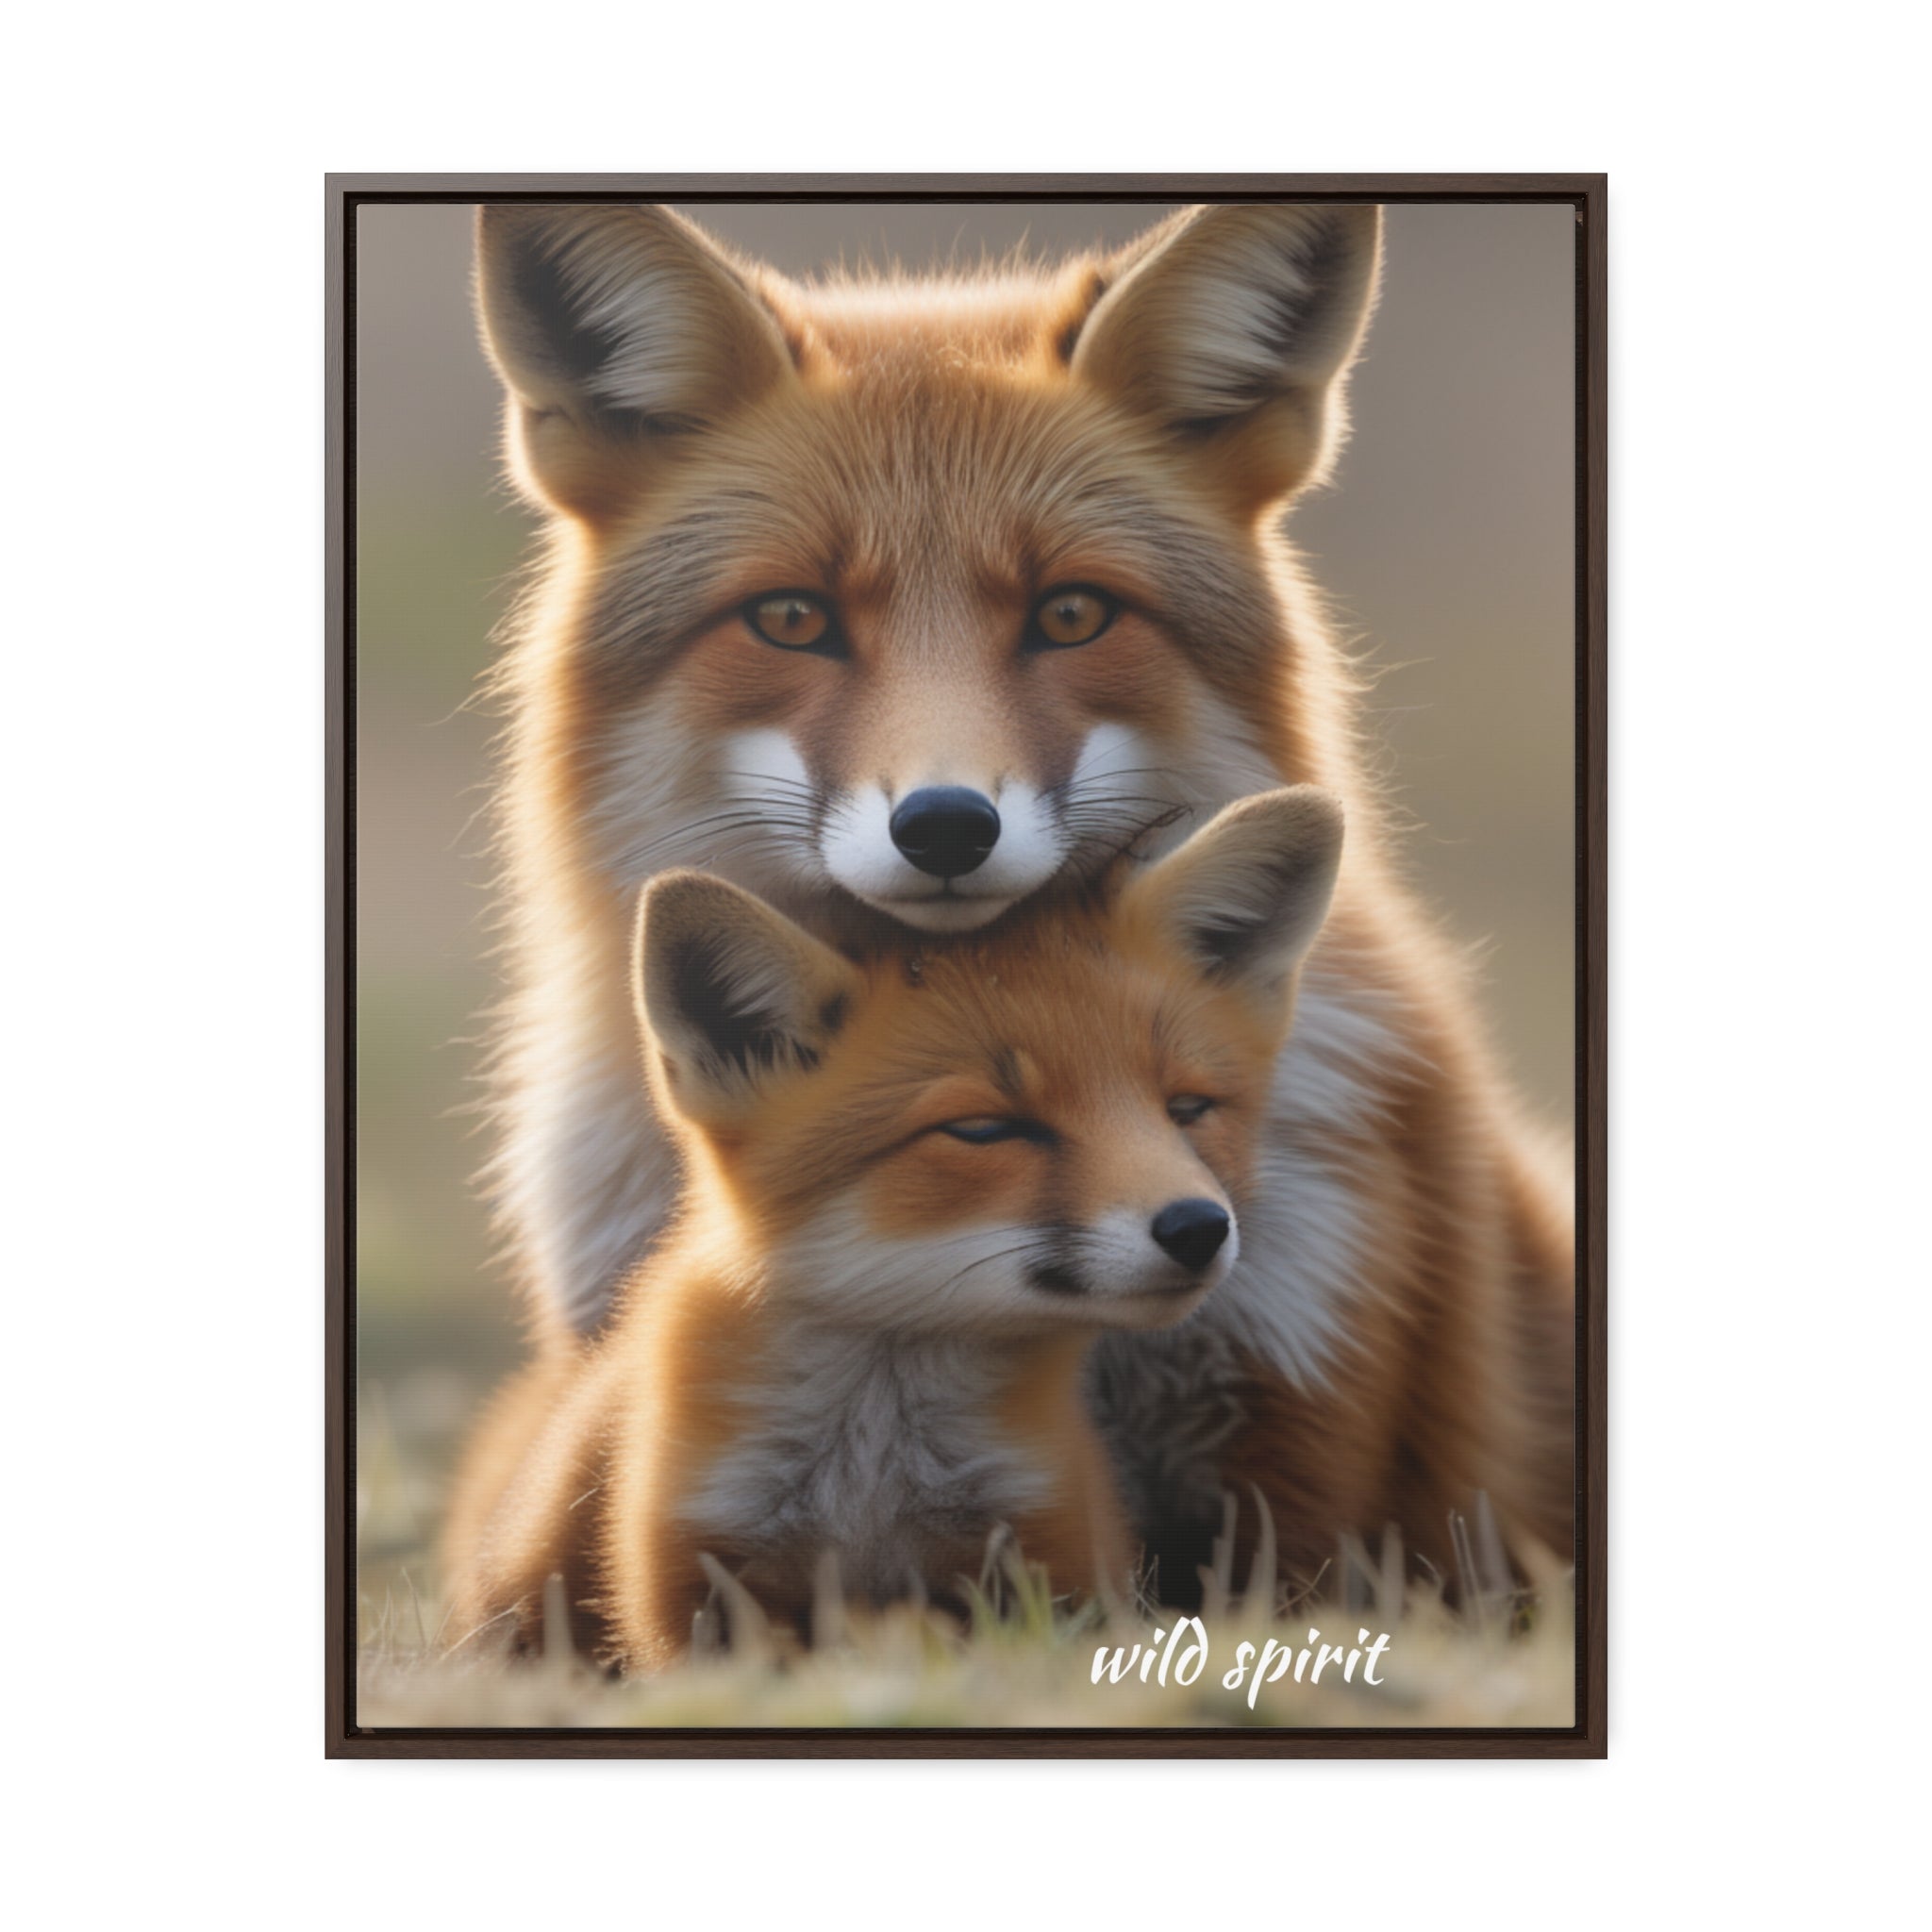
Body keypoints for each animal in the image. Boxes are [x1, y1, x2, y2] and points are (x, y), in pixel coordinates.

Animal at [443, 789, 1345, 1665]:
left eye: (1187, 1109)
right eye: (985, 1129)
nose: (1198, 1227)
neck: (872, 1473)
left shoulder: (1049, 1556)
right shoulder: (695, 1580)